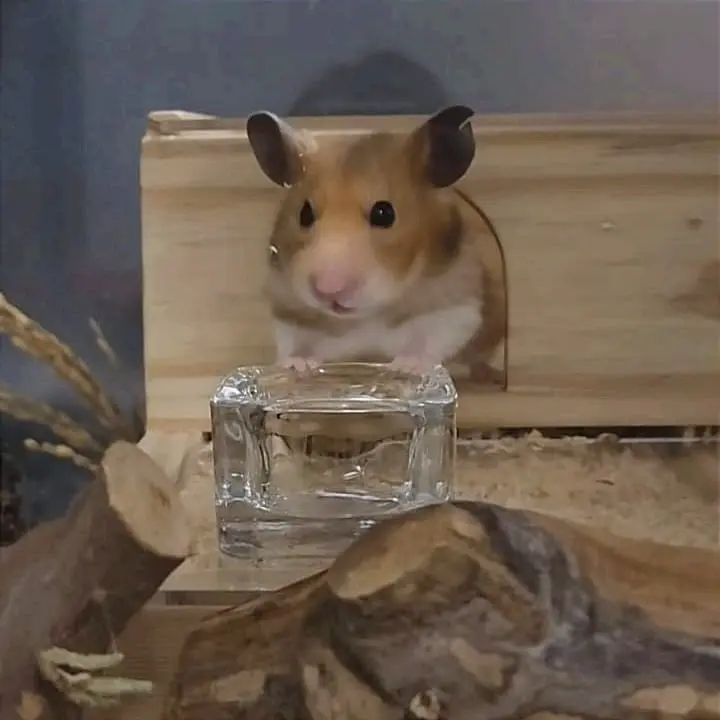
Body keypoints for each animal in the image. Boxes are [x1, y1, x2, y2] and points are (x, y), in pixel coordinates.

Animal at [246, 105, 506, 382]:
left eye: (384, 213)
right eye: (304, 214)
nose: (328, 289)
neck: (367, 317)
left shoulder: (456, 304)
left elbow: (429, 342)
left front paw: (407, 366)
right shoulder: (287, 309)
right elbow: (296, 343)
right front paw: (297, 365)